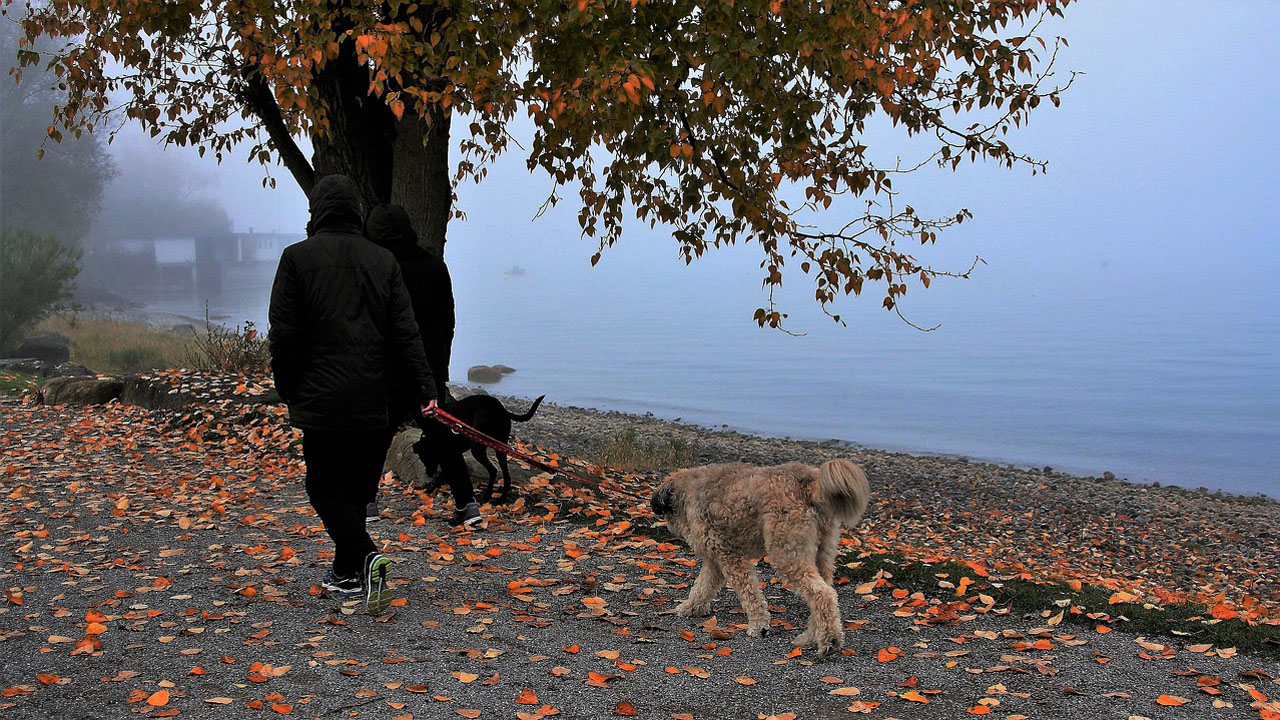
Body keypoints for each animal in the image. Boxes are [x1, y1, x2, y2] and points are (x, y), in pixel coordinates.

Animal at [414, 392, 545, 504]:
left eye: (425, 458)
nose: (429, 474)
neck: (432, 435)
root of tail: (502, 410)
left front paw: (431, 488)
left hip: (477, 448)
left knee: (493, 470)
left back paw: (487, 496)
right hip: (500, 447)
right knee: (506, 476)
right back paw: (502, 499)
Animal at [650, 458, 870, 655]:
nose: (670, 530)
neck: (689, 489)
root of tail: (809, 482)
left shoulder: (729, 556)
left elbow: (750, 594)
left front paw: (759, 626)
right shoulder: (715, 560)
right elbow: (702, 587)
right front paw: (691, 607)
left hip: (787, 554)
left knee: (822, 594)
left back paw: (829, 641)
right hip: (822, 553)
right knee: (824, 595)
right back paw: (810, 638)